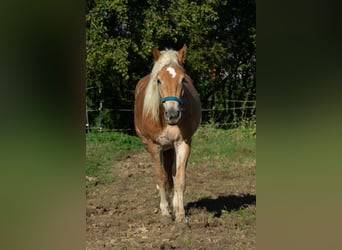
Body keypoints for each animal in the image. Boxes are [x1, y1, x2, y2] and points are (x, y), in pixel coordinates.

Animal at [134, 44, 202, 223]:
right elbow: (161, 177)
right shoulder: (154, 146)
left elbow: (179, 178)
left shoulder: (183, 143)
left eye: (183, 79)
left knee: (172, 173)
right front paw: (165, 211)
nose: (172, 114)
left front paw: (180, 214)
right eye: (158, 80)